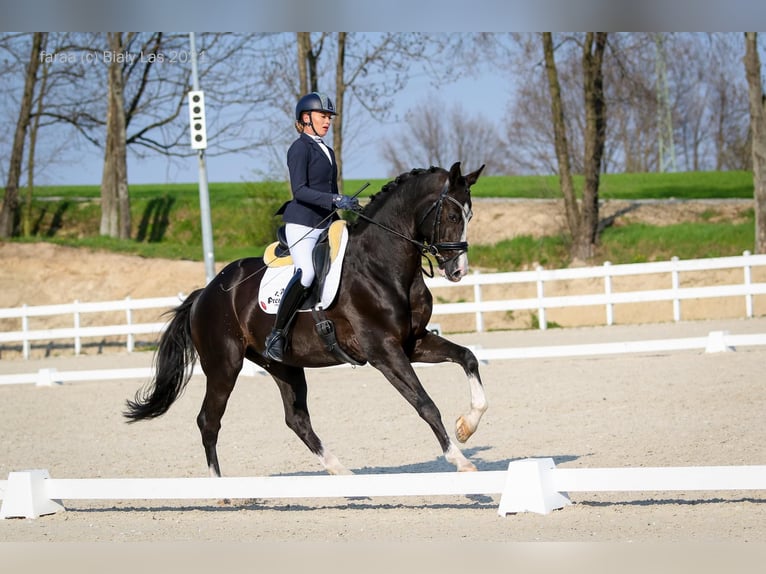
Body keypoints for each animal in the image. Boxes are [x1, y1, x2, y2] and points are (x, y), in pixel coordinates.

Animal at [124, 162, 486, 476]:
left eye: (470, 216)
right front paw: (460, 459)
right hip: (223, 365)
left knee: (296, 419)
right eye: (452, 215)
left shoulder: (413, 342)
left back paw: (345, 475)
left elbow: (468, 357)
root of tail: (205, 293)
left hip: (282, 364)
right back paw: (222, 491)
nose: (458, 271)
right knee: (208, 421)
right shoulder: (383, 351)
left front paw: (466, 427)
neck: (381, 264)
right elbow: (425, 403)